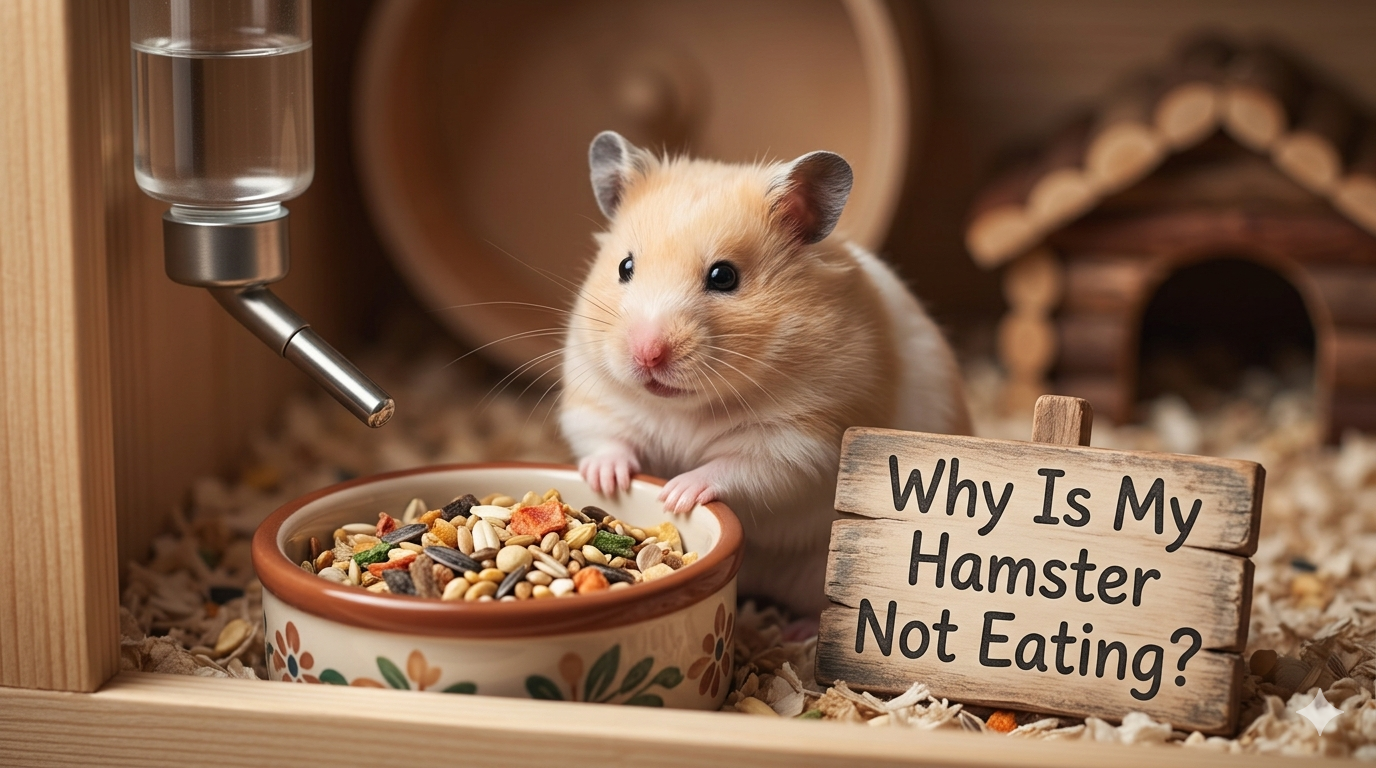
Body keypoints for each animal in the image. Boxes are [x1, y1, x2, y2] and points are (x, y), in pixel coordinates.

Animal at [559, 131, 971, 615]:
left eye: (724, 276)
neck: (686, 408)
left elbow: (739, 468)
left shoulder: (801, 441)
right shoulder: (594, 399)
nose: (647, 355)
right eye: (625, 267)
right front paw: (607, 481)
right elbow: (606, 439)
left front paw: (676, 493)